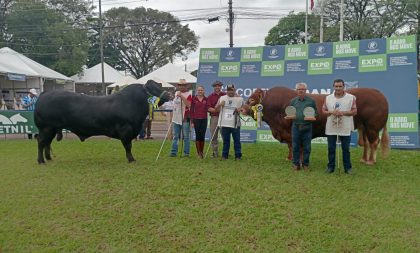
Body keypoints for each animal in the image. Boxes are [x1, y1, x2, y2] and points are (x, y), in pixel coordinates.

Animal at [33, 81, 170, 164]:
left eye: (159, 86)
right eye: (154, 88)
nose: (169, 94)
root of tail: (45, 93)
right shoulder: (125, 130)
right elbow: (128, 146)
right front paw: (131, 159)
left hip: (51, 129)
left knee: (47, 143)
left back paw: (48, 158)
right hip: (46, 128)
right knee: (41, 142)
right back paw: (41, 161)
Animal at [243, 86, 390, 164]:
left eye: (251, 100)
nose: (241, 109)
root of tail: (379, 94)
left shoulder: (291, 131)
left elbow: (297, 146)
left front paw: (298, 160)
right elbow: (291, 146)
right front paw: (290, 158)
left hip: (372, 127)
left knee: (374, 142)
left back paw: (371, 161)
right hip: (363, 127)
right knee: (366, 143)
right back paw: (364, 159)